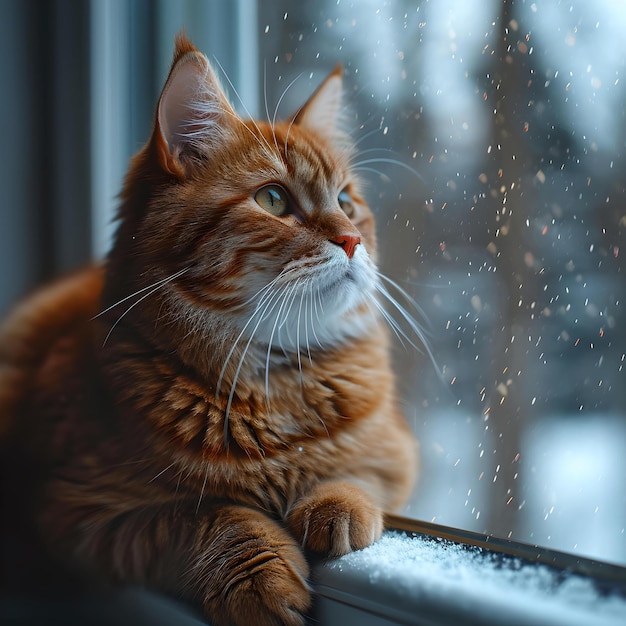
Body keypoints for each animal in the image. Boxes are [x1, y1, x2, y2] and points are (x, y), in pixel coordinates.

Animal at [1, 34, 420, 624]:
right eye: (273, 200)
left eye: (345, 202)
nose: (351, 239)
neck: (275, 383)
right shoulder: (82, 512)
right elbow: (209, 516)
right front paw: (258, 575)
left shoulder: (395, 455)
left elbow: (356, 473)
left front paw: (335, 501)